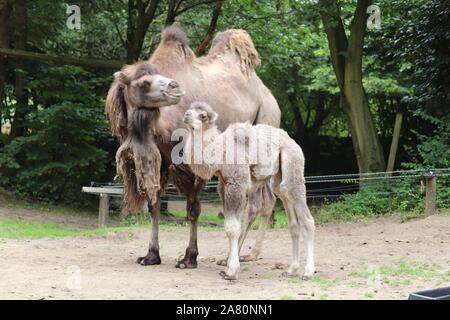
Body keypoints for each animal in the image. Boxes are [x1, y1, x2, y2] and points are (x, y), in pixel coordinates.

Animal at [107, 26, 280, 268]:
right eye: (144, 83)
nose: (175, 86)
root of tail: (270, 97)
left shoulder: (190, 163)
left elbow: (193, 208)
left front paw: (189, 257)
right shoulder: (161, 162)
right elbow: (153, 206)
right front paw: (151, 255)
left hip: (263, 127)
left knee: (254, 202)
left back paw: (233, 257)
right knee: (265, 200)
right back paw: (250, 254)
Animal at [183, 103, 316, 280]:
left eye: (203, 115)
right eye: (189, 108)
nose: (186, 115)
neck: (218, 154)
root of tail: (292, 142)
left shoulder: (237, 182)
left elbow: (232, 228)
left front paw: (231, 271)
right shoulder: (223, 185)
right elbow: (229, 225)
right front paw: (228, 264)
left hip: (292, 160)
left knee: (306, 218)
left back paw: (308, 271)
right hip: (278, 176)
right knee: (289, 212)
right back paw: (291, 269)